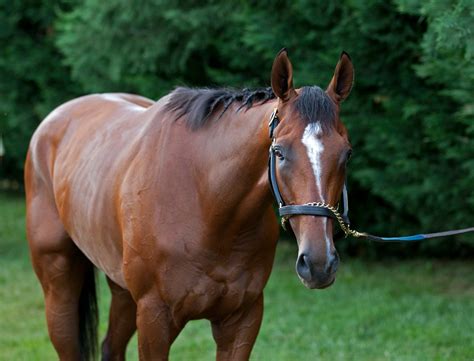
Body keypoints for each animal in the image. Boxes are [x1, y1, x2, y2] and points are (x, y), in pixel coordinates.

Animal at [25, 48, 352, 360]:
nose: (319, 263)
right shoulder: (155, 319)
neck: (206, 204)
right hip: (59, 284)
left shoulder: (242, 319)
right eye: (280, 152)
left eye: (346, 154)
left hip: (122, 291)